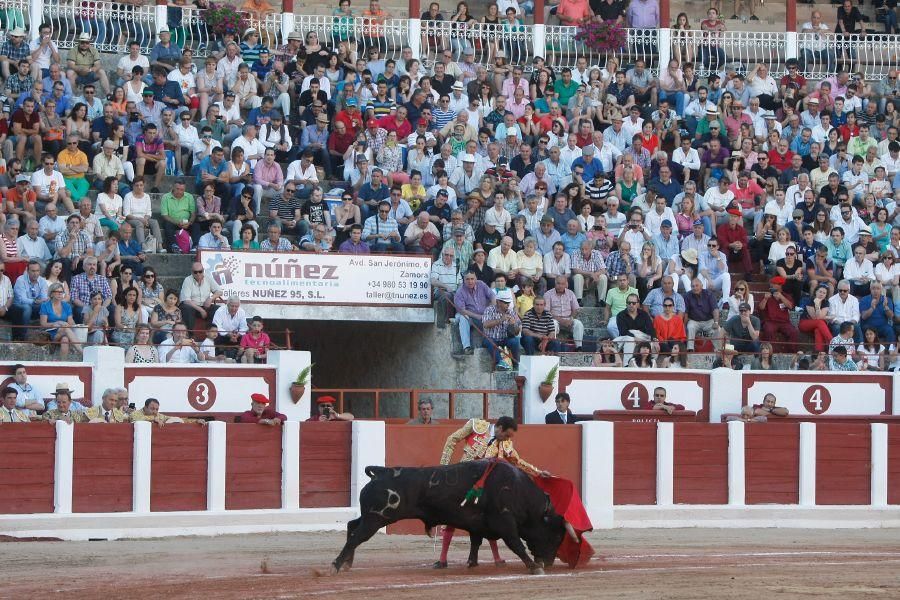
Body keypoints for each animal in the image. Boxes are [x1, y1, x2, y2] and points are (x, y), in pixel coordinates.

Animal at [330, 462, 568, 576]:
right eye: (556, 536)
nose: (549, 562)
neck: (517, 489)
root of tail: (381, 472)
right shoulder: (504, 522)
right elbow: (516, 544)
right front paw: (534, 567)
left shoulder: (478, 524)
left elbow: (476, 541)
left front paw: (472, 563)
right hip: (377, 518)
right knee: (357, 536)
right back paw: (336, 565)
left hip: (371, 516)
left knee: (352, 526)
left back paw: (347, 563)